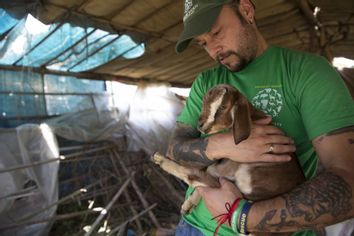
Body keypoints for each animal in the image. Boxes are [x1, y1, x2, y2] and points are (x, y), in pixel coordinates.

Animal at [151, 83, 304, 216]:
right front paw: (189, 204)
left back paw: (160, 160)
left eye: (223, 106)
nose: (200, 125)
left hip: (242, 173)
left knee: (196, 176)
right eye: (204, 101)